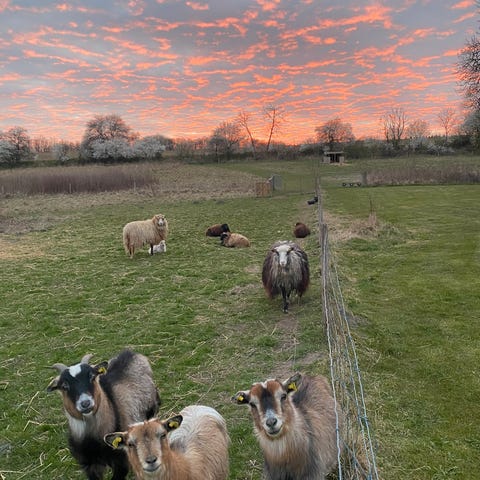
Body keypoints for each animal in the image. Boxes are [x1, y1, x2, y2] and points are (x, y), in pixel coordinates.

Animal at [47, 349, 160, 480]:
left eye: (92, 377)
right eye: (64, 386)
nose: (85, 403)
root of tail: (129, 352)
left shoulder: (121, 462)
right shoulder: (89, 464)